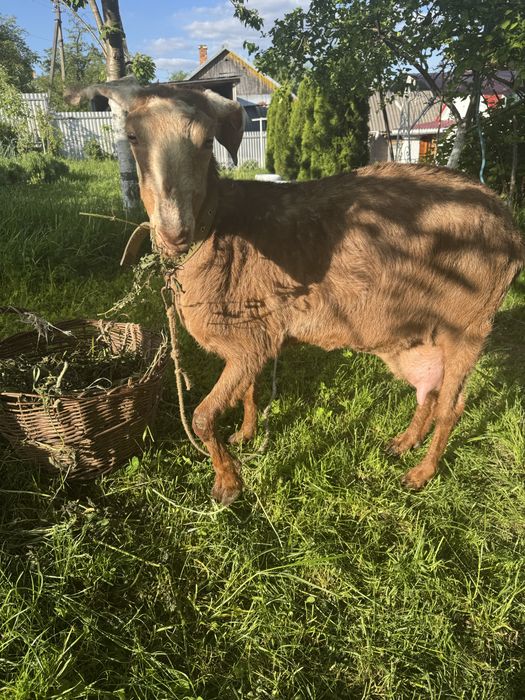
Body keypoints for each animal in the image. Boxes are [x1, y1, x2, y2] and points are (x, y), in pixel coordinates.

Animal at [74, 76, 525, 505]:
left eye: (205, 142)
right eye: (132, 136)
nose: (173, 231)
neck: (218, 228)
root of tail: (509, 226)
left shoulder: (251, 341)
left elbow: (202, 418)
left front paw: (227, 485)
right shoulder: (253, 337)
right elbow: (248, 391)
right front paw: (245, 435)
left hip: (469, 324)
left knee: (451, 407)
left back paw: (420, 474)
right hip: (413, 338)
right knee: (429, 393)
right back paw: (403, 443)